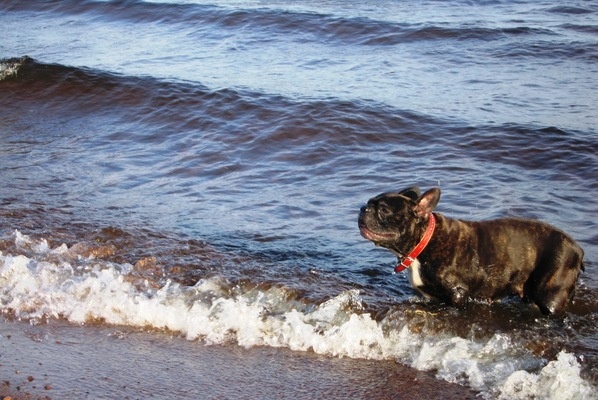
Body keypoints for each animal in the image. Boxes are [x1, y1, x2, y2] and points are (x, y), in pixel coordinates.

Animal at [360, 186, 584, 318]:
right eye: (369, 202)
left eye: (384, 210)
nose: (363, 208)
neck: (424, 241)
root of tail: (577, 249)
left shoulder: (458, 294)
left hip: (550, 295)